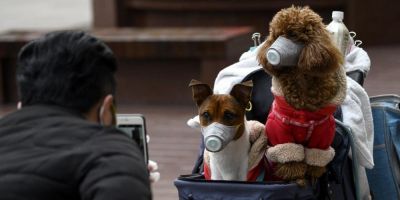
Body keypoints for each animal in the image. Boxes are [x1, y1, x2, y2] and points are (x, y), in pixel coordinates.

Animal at [258, 5, 346, 184]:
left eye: (292, 35)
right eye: (276, 35)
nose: (271, 52)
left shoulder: (322, 136)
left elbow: (316, 158)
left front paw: (313, 175)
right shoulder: (280, 132)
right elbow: (290, 158)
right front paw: (296, 177)